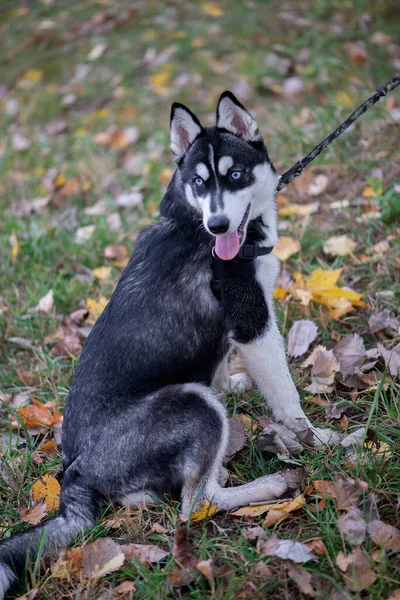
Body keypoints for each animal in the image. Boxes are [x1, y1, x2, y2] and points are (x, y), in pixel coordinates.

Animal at [0, 91, 338, 596]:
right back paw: (272, 486)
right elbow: (287, 396)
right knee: (196, 502)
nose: (218, 225)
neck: (192, 220)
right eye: (199, 182)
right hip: (195, 404)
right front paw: (318, 439)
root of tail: (74, 473)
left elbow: (227, 365)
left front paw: (236, 383)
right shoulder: (253, 321)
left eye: (234, 175)